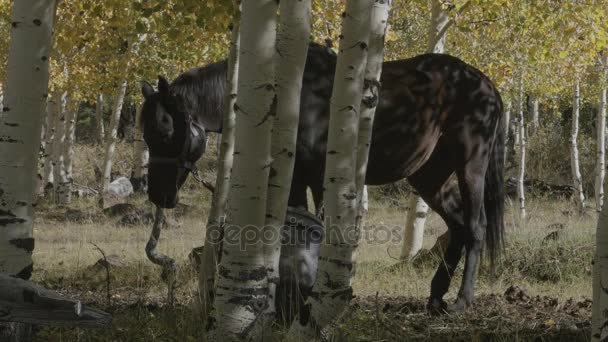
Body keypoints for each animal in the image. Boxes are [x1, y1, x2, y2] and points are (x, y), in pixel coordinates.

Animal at [140, 42, 506, 312]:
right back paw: (435, 296)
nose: (158, 195)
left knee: (475, 227)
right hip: (429, 176)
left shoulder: (316, 177)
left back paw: (462, 301)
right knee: (458, 227)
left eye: (165, 130)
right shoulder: (292, 178)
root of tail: (488, 86)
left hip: (471, 165)